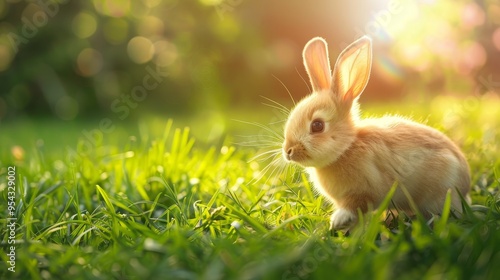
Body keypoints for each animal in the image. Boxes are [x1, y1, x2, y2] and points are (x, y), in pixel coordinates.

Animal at [284, 35, 470, 230]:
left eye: (317, 125)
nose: (288, 151)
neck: (346, 149)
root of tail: (465, 184)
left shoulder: (364, 191)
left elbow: (354, 206)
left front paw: (338, 221)